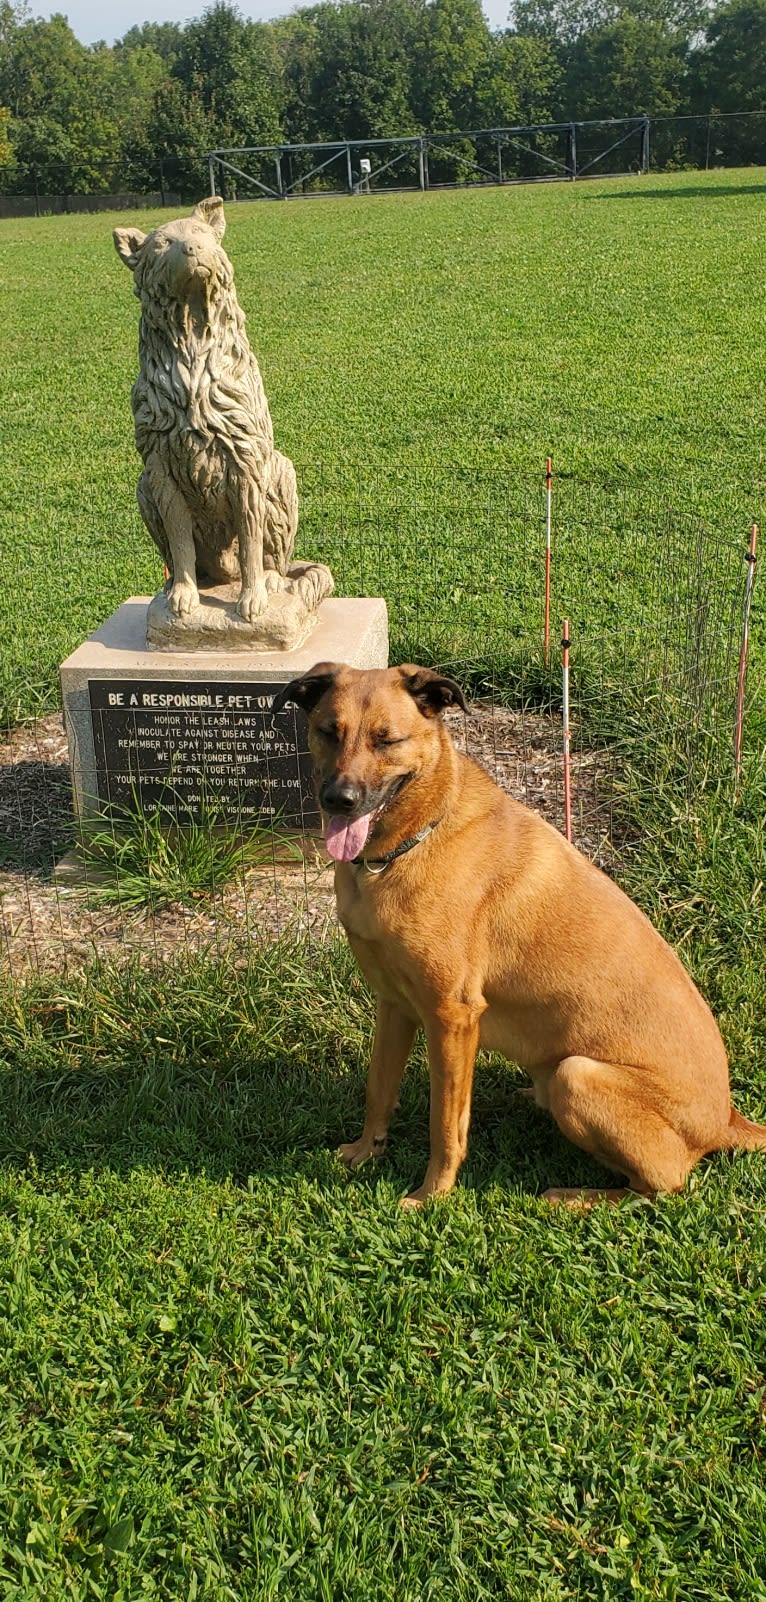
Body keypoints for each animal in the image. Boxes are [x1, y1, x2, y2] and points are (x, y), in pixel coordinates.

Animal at [272, 663, 762, 1204]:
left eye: (388, 740)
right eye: (327, 731)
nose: (339, 800)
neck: (408, 845)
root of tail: (725, 1121)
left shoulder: (452, 1016)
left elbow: (445, 1123)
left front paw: (433, 1195)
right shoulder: (395, 1004)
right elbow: (379, 1089)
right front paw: (365, 1151)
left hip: (578, 1076)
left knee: (661, 1184)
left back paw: (574, 1198)